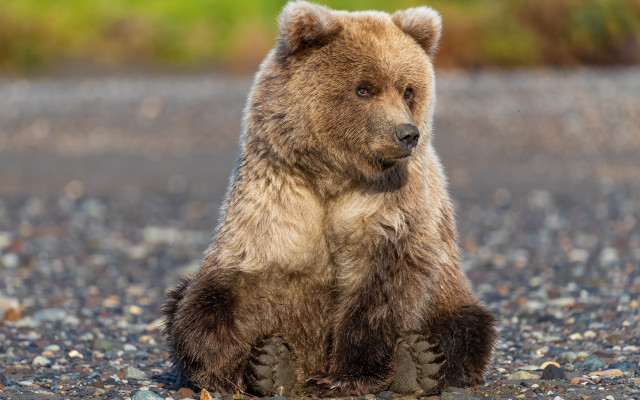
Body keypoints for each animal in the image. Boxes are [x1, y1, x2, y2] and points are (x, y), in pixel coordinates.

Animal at [163, 1, 497, 397]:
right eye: (364, 89)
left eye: (408, 90)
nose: (407, 134)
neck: (333, 176)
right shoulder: (276, 200)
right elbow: (216, 295)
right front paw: (237, 365)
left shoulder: (391, 209)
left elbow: (382, 289)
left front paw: (351, 374)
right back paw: (276, 366)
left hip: (450, 293)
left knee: (467, 326)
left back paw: (418, 363)